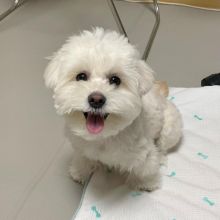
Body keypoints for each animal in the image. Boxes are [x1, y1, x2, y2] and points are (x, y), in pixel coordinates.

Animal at [43, 27, 181, 192]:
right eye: (81, 76)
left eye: (115, 80)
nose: (96, 99)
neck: (103, 137)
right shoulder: (80, 147)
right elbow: (83, 158)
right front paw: (80, 172)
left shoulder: (143, 152)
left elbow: (145, 168)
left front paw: (146, 183)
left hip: (170, 130)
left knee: (162, 146)